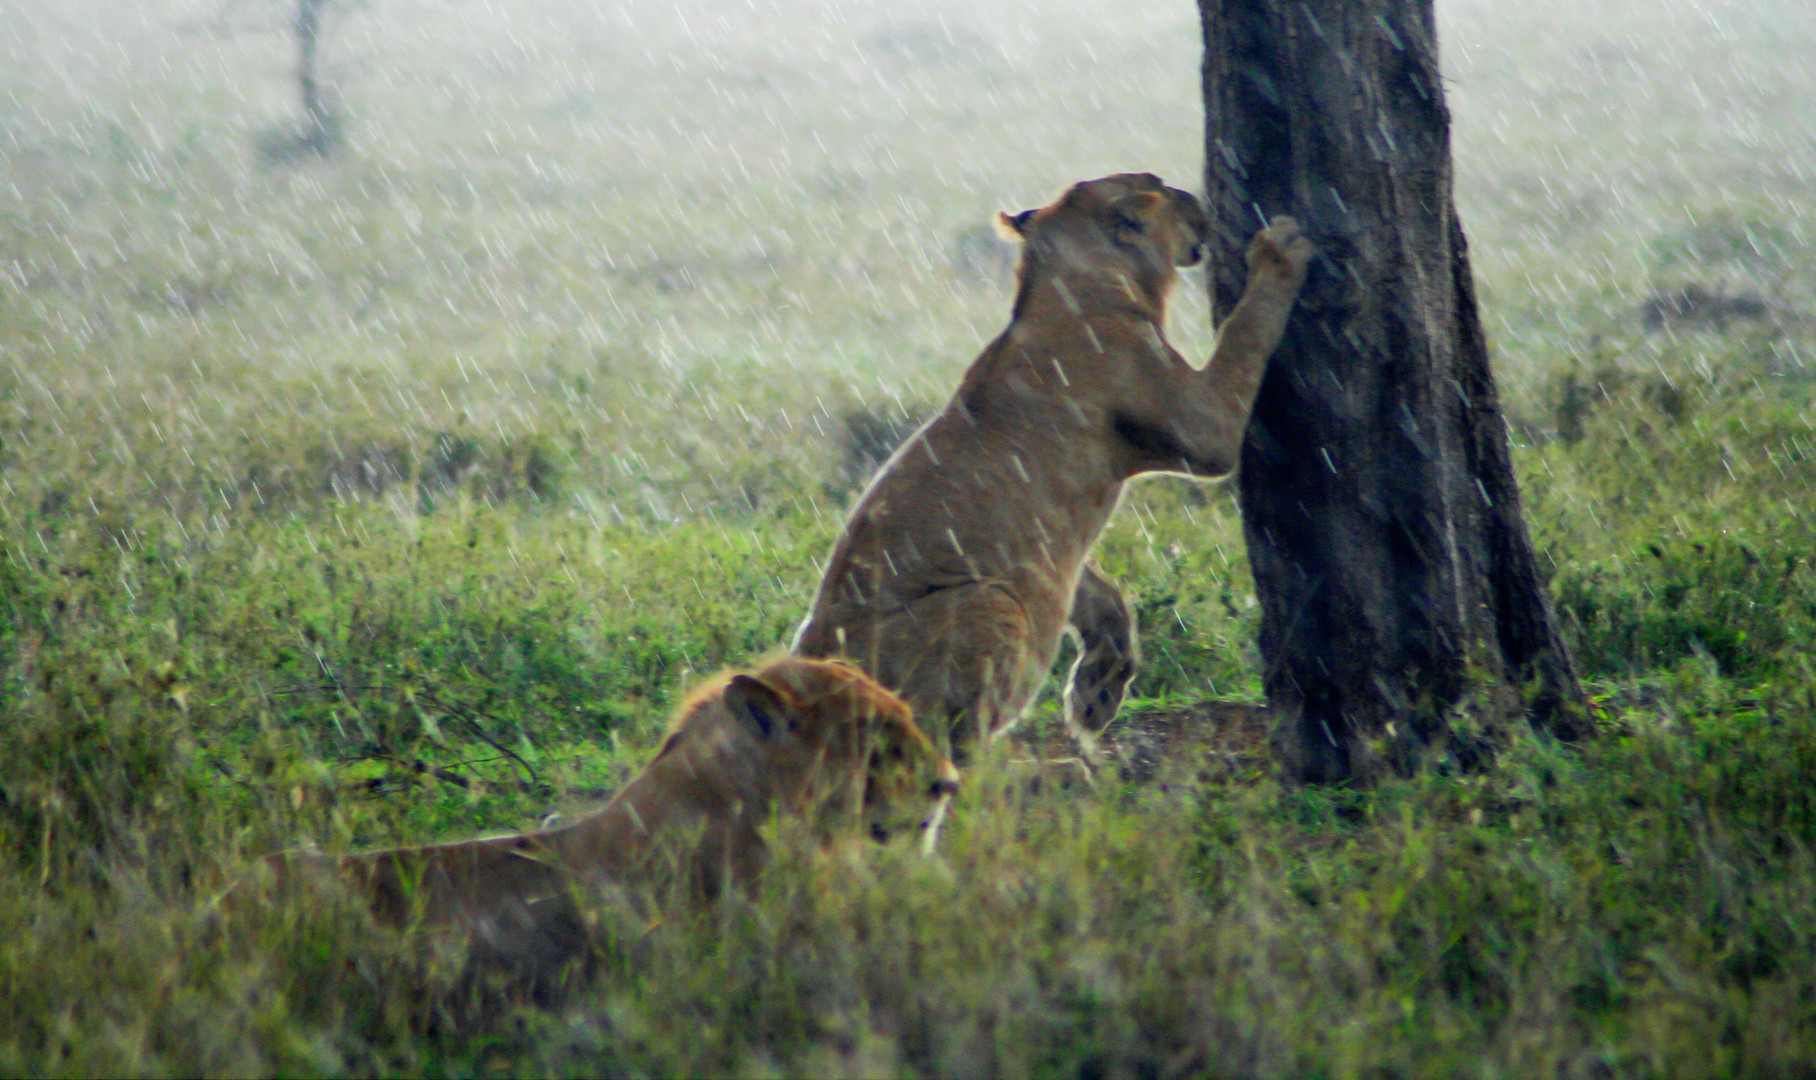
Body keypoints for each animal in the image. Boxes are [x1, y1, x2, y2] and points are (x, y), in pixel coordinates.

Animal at [788, 173, 1314, 765]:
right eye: (1157, 185)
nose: (1198, 201)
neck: (1071, 280)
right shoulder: (1202, 429)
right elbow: (1246, 336)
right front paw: (1279, 251)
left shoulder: (1057, 550)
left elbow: (1104, 598)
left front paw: (1097, 694)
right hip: (989, 602)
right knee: (950, 756)